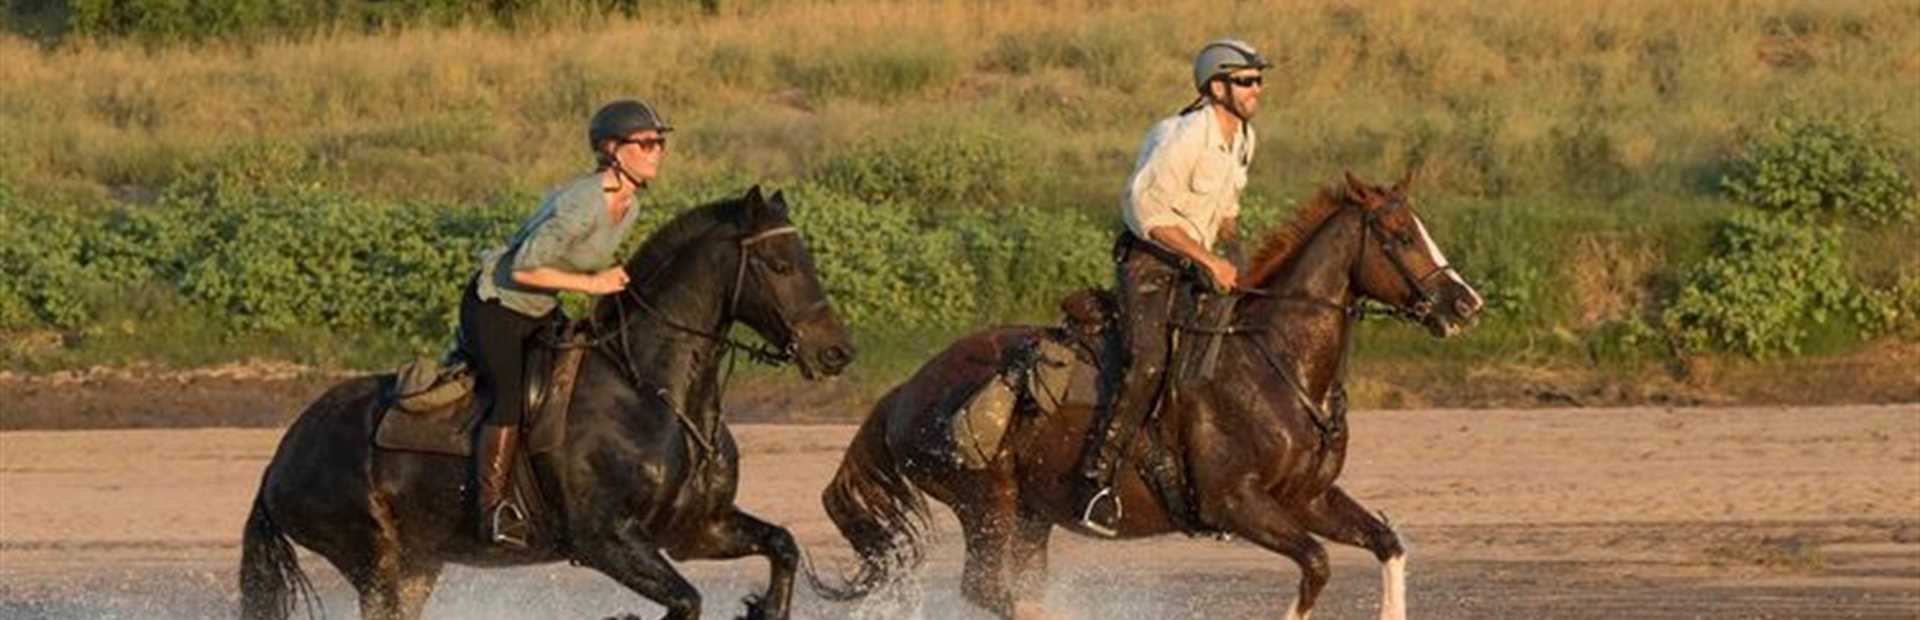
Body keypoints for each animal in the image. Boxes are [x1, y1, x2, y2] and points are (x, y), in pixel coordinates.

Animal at [236, 188, 852, 620]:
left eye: (806, 259)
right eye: (780, 266)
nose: (837, 351)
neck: (652, 394)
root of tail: (280, 458)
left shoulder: (695, 528)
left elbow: (782, 546)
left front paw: (764, 607)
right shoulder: (605, 538)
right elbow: (685, 601)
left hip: (417, 563)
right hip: (373, 560)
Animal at [810, 172, 1482, 618]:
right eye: (1399, 234)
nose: (1465, 303)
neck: (1276, 366)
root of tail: (904, 392)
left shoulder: (1308, 497)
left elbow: (1386, 544)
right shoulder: (1236, 503)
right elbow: (1315, 566)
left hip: (1030, 514)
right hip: (985, 503)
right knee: (990, 591)